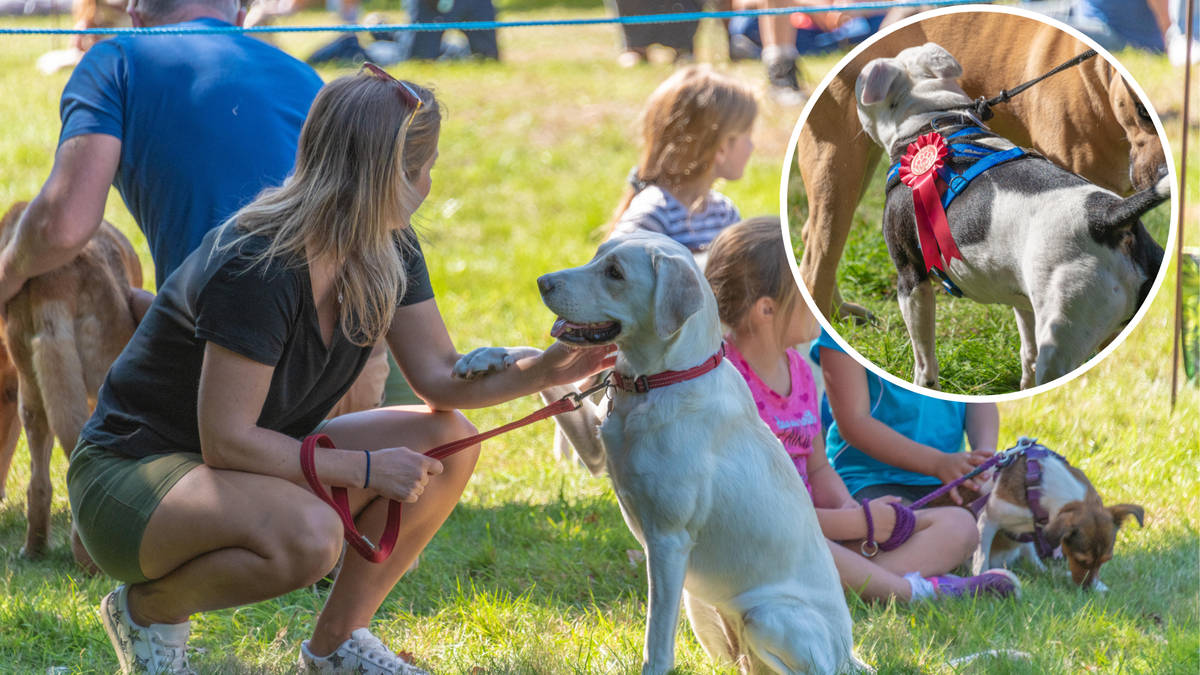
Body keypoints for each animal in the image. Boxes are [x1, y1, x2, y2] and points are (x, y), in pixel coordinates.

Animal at [854, 42, 1171, 389]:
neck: (933, 120)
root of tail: (1108, 216)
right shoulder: (1023, 298)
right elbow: (1027, 352)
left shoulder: (911, 277)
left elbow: (924, 358)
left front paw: (924, 384)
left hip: (1062, 335)